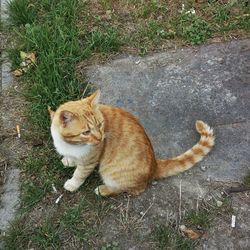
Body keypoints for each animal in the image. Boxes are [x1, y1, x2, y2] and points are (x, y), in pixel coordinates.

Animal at [48, 91, 215, 196]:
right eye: (86, 132)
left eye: (100, 124)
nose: (100, 138)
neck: (71, 144)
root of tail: (154, 165)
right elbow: (72, 160)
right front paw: (68, 160)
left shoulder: (89, 161)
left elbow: (79, 174)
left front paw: (72, 184)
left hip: (111, 174)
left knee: (132, 190)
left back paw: (103, 190)